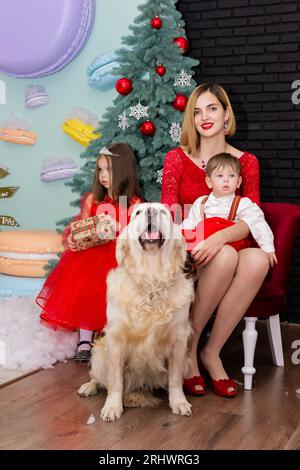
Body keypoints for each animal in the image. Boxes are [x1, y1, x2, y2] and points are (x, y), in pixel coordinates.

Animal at [78, 202, 195, 422]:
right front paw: (112, 407)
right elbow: (115, 380)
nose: (151, 211)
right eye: (139, 212)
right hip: (99, 353)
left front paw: (179, 402)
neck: (151, 278)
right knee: (98, 377)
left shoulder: (178, 340)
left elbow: (175, 379)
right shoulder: (116, 340)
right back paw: (88, 387)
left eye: (163, 212)